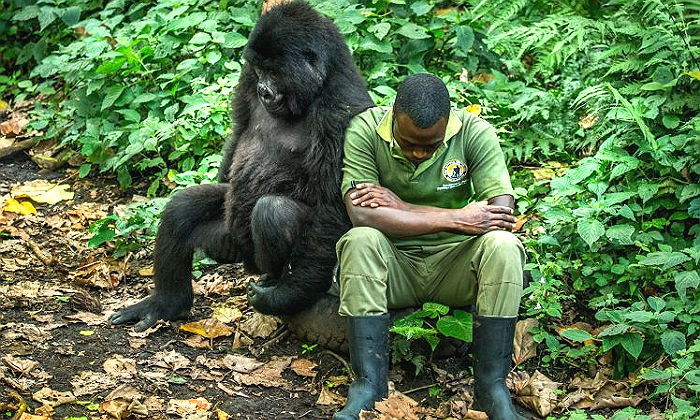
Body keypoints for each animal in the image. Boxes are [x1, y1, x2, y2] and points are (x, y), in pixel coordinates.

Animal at [108, 2, 372, 332]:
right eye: (260, 70)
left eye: (274, 71)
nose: (264, 91)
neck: (319, 84)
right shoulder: (246, 78)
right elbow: (238, 130)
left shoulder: (342, 110)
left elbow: (332, 206)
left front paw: (287, 295)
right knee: (184, 207)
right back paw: (167, 302)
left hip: (256, 262)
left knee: (274, 212)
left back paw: (275, 282)